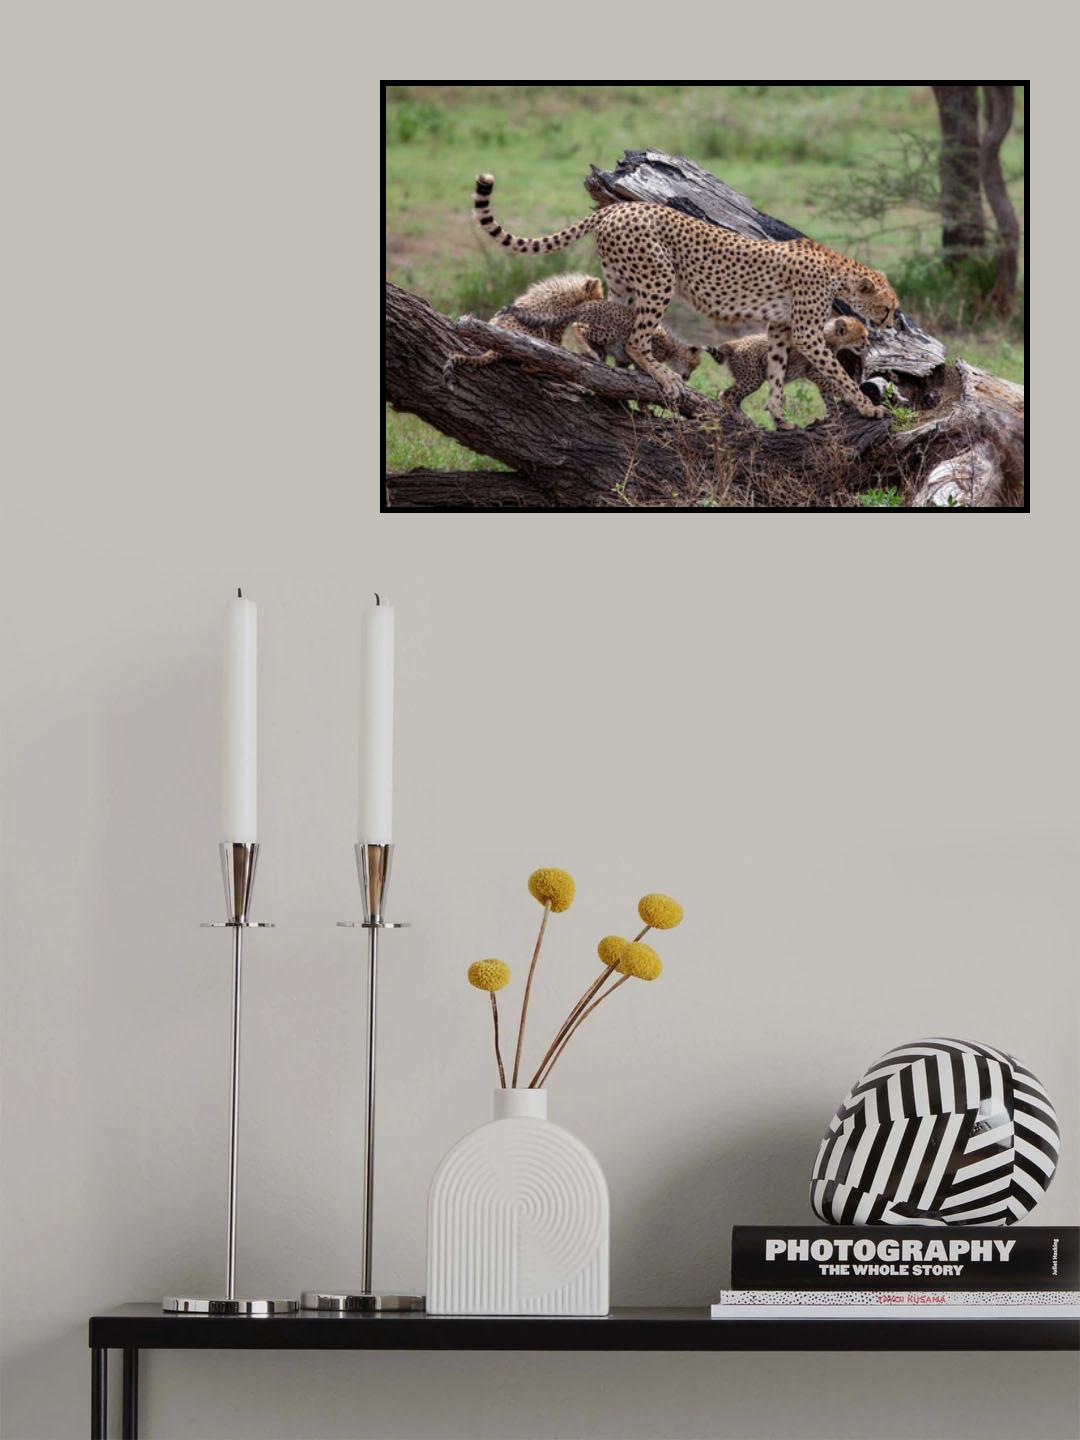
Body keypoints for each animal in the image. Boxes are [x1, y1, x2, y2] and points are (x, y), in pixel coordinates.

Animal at [504, 297, 703, 379]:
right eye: (694, 365)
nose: (687, 378)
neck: (673, 348)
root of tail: (584, 304)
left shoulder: (623, 359)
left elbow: (623, 365)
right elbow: (646, 366)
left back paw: (590, 353)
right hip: (608, 331)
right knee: (578, 327)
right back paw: (589, 351)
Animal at [709, 316, 869, 418]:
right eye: (862, 337)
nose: (868, 344)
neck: (831, 338)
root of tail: (735, 343)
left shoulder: (819, 374)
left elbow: (827, 394)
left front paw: (833, 415)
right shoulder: (813, 372)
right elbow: (833, 387)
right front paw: (848, 398)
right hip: (753, 378)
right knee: (726, 394)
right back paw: (738, 416)